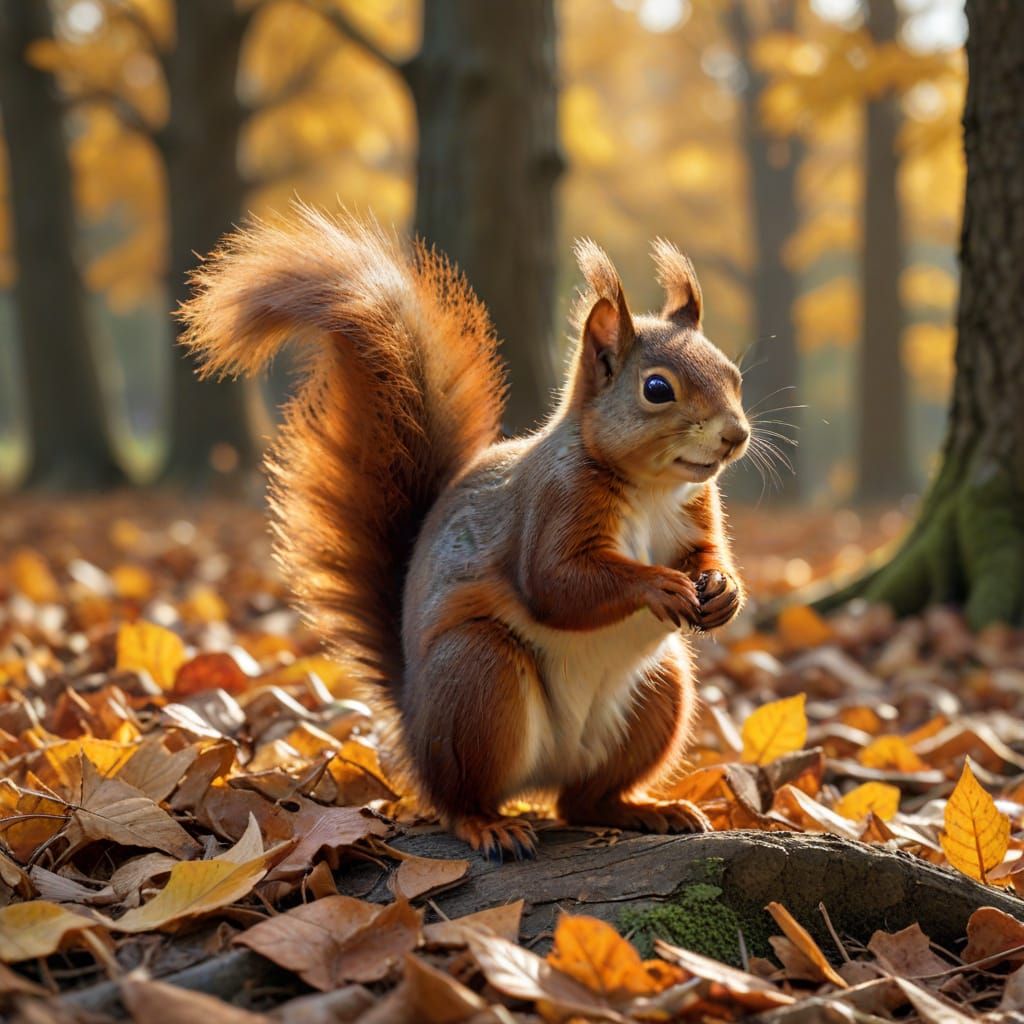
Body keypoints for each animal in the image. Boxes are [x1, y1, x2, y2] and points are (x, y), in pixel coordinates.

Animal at [179, 204, 750, 859]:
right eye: (657, 388)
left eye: (734, 375)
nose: (736, 435)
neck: (652, 488)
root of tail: (413, 724)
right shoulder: (554, 502)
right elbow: (557, 583)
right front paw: (660, 585)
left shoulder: (696, 511)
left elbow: (706, 552)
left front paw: (724, 590)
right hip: (479, 678)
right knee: (458, 798)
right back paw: (489, 825)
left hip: (659, 692)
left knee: (583, 801)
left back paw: (644, 809)